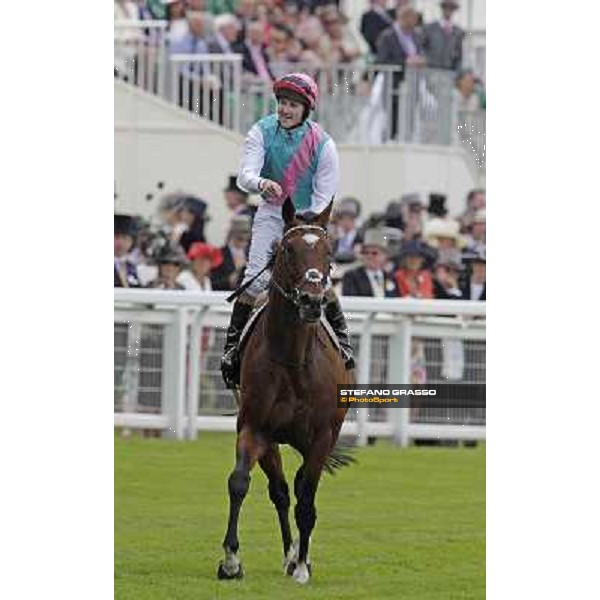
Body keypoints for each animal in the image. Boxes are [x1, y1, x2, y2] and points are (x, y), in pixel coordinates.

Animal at [217, 199, 354, 584]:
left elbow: (306, 498)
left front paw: (304, 567)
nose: (311, 300)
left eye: (328, 250)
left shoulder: (322, 436)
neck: (293, 359)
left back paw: (298, 557)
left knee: (299, 487)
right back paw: (289, 553)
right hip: (273, 441)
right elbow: (239, 482)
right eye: (288, 249)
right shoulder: (254, 428)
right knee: (279, 490)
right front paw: (230, 561)